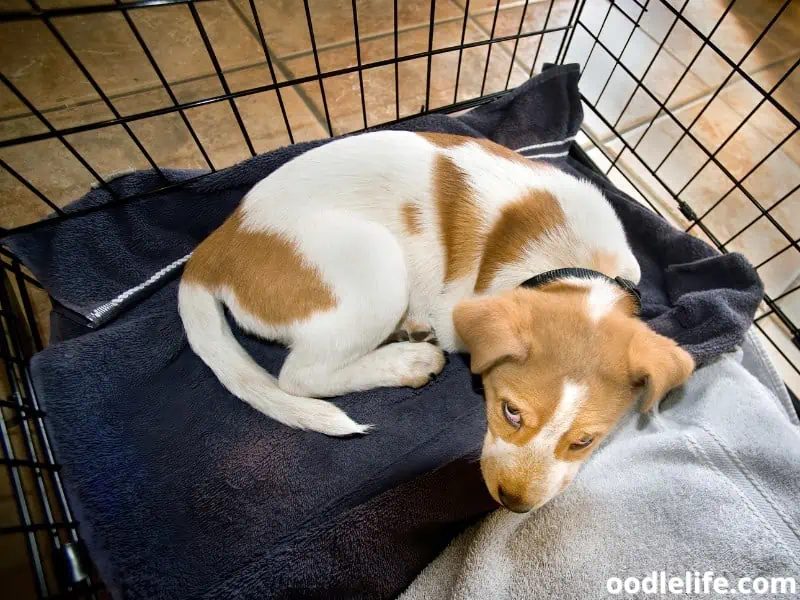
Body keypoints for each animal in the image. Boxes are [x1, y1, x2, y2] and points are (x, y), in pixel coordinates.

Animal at [178, 131, 692, 510]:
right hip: (376, 264)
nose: (513, 503)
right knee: (301, 377)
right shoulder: (459, 314)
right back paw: (408, 360)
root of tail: (217, 244)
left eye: (584, 441)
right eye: (510, 411)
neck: (572, 262)